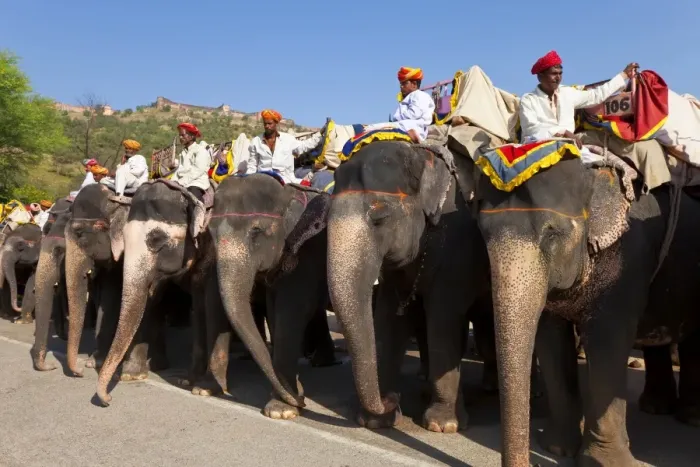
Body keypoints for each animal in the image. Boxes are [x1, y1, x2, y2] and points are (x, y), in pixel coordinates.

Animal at [208, 173, 337, 419]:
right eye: (210, 232)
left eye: (256, 231)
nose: (301, 401)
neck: (286, 194)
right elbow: (274, 308)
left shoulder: (306, 251)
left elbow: (291, 308)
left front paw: (281, 409)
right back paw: (321, 362)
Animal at [327, 141, 494, 433]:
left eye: (379, 218)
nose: (393, 399)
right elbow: (388, 318)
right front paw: (375, 421)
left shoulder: (457, 246)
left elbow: (443, 319)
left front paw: (443, 426)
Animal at [474, 154, 700, 466]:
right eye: (483, 234)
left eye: (552, 234)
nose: (529, 462)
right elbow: (551, 340)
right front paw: (557, 449)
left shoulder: (626, 259)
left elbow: (607, 343)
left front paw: (605, 462)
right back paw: (658, 407)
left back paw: (689, 418)